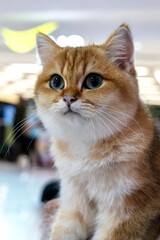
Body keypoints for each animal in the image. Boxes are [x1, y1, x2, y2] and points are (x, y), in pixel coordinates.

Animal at [34, 24, 159, 240]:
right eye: (56, 82)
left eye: (94, 81)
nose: (68, 98)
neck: (86, 149)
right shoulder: (73, 203)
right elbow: (63, 231)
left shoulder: (128, 209)